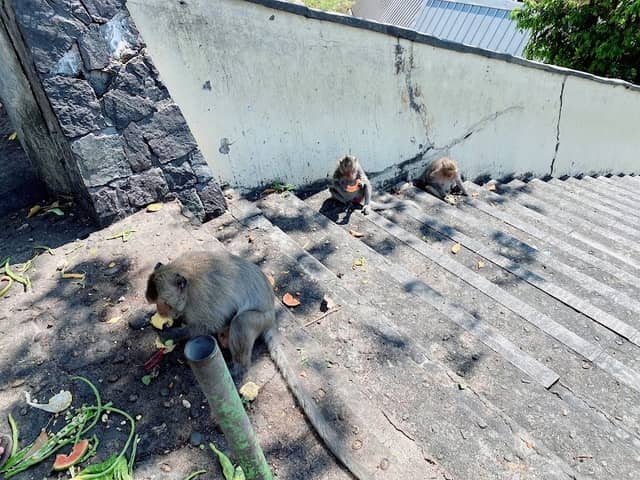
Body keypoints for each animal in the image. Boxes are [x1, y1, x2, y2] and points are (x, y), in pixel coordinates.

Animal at [145, 250, 274, 374]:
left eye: (162, 303)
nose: (160, 311)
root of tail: (272, 310)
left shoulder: (200, 297)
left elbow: (212, 324)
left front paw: (170, 334)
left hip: (264, 319)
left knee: (241, 321)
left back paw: (239, 367)